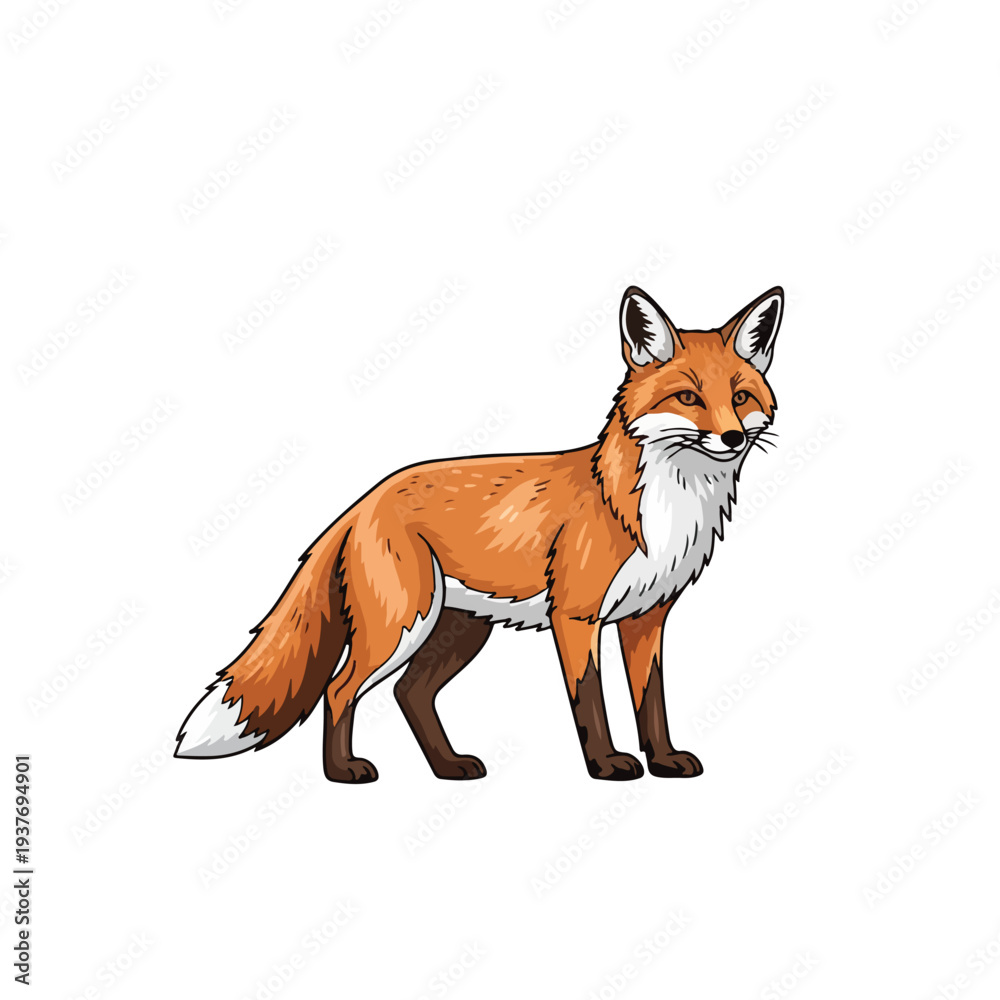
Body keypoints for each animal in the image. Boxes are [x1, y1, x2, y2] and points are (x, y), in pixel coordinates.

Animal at [175, 284, 783, 782]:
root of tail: (366, 497)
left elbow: (650, 702)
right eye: (688, 398)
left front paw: (663, 759)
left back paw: (448, 766)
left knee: (409, 693)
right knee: (340, 687)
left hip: (458, 630)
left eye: (741, 398)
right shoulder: (576, 616)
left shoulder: (645, 619)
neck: (662, 507)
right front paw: (607, 764)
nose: (732, 437)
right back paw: (343, 771)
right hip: (402, 623)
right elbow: (590, 701)